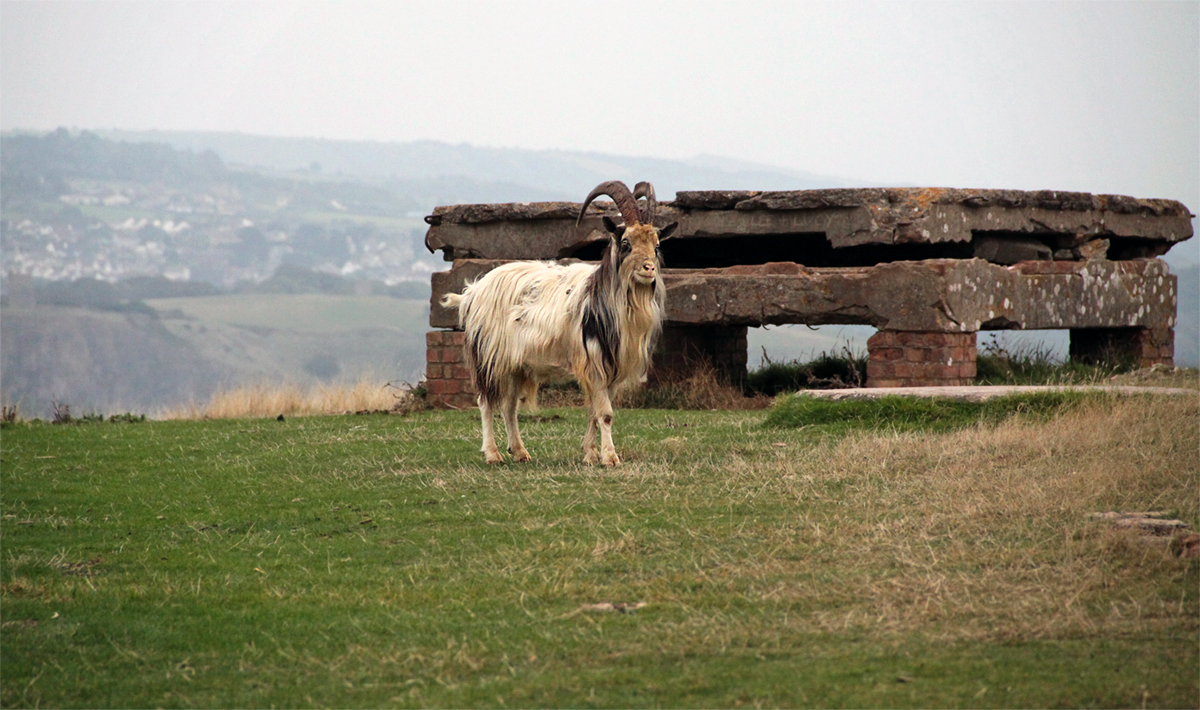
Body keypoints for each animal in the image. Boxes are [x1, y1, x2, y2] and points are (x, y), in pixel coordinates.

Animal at [441, 179, 681, 462]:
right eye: (625, 243)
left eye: (656, 245)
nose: (649, 269)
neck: (602, 300)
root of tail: (472, 292)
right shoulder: (593, 363)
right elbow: (606, 414)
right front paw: (610, 457)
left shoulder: (611, 370)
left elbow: (595, 412)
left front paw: (590, 454)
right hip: (488, 356)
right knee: (486, 402)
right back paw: (492, 454)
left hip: (516, 365)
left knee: (509, 406)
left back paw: (520, 452)